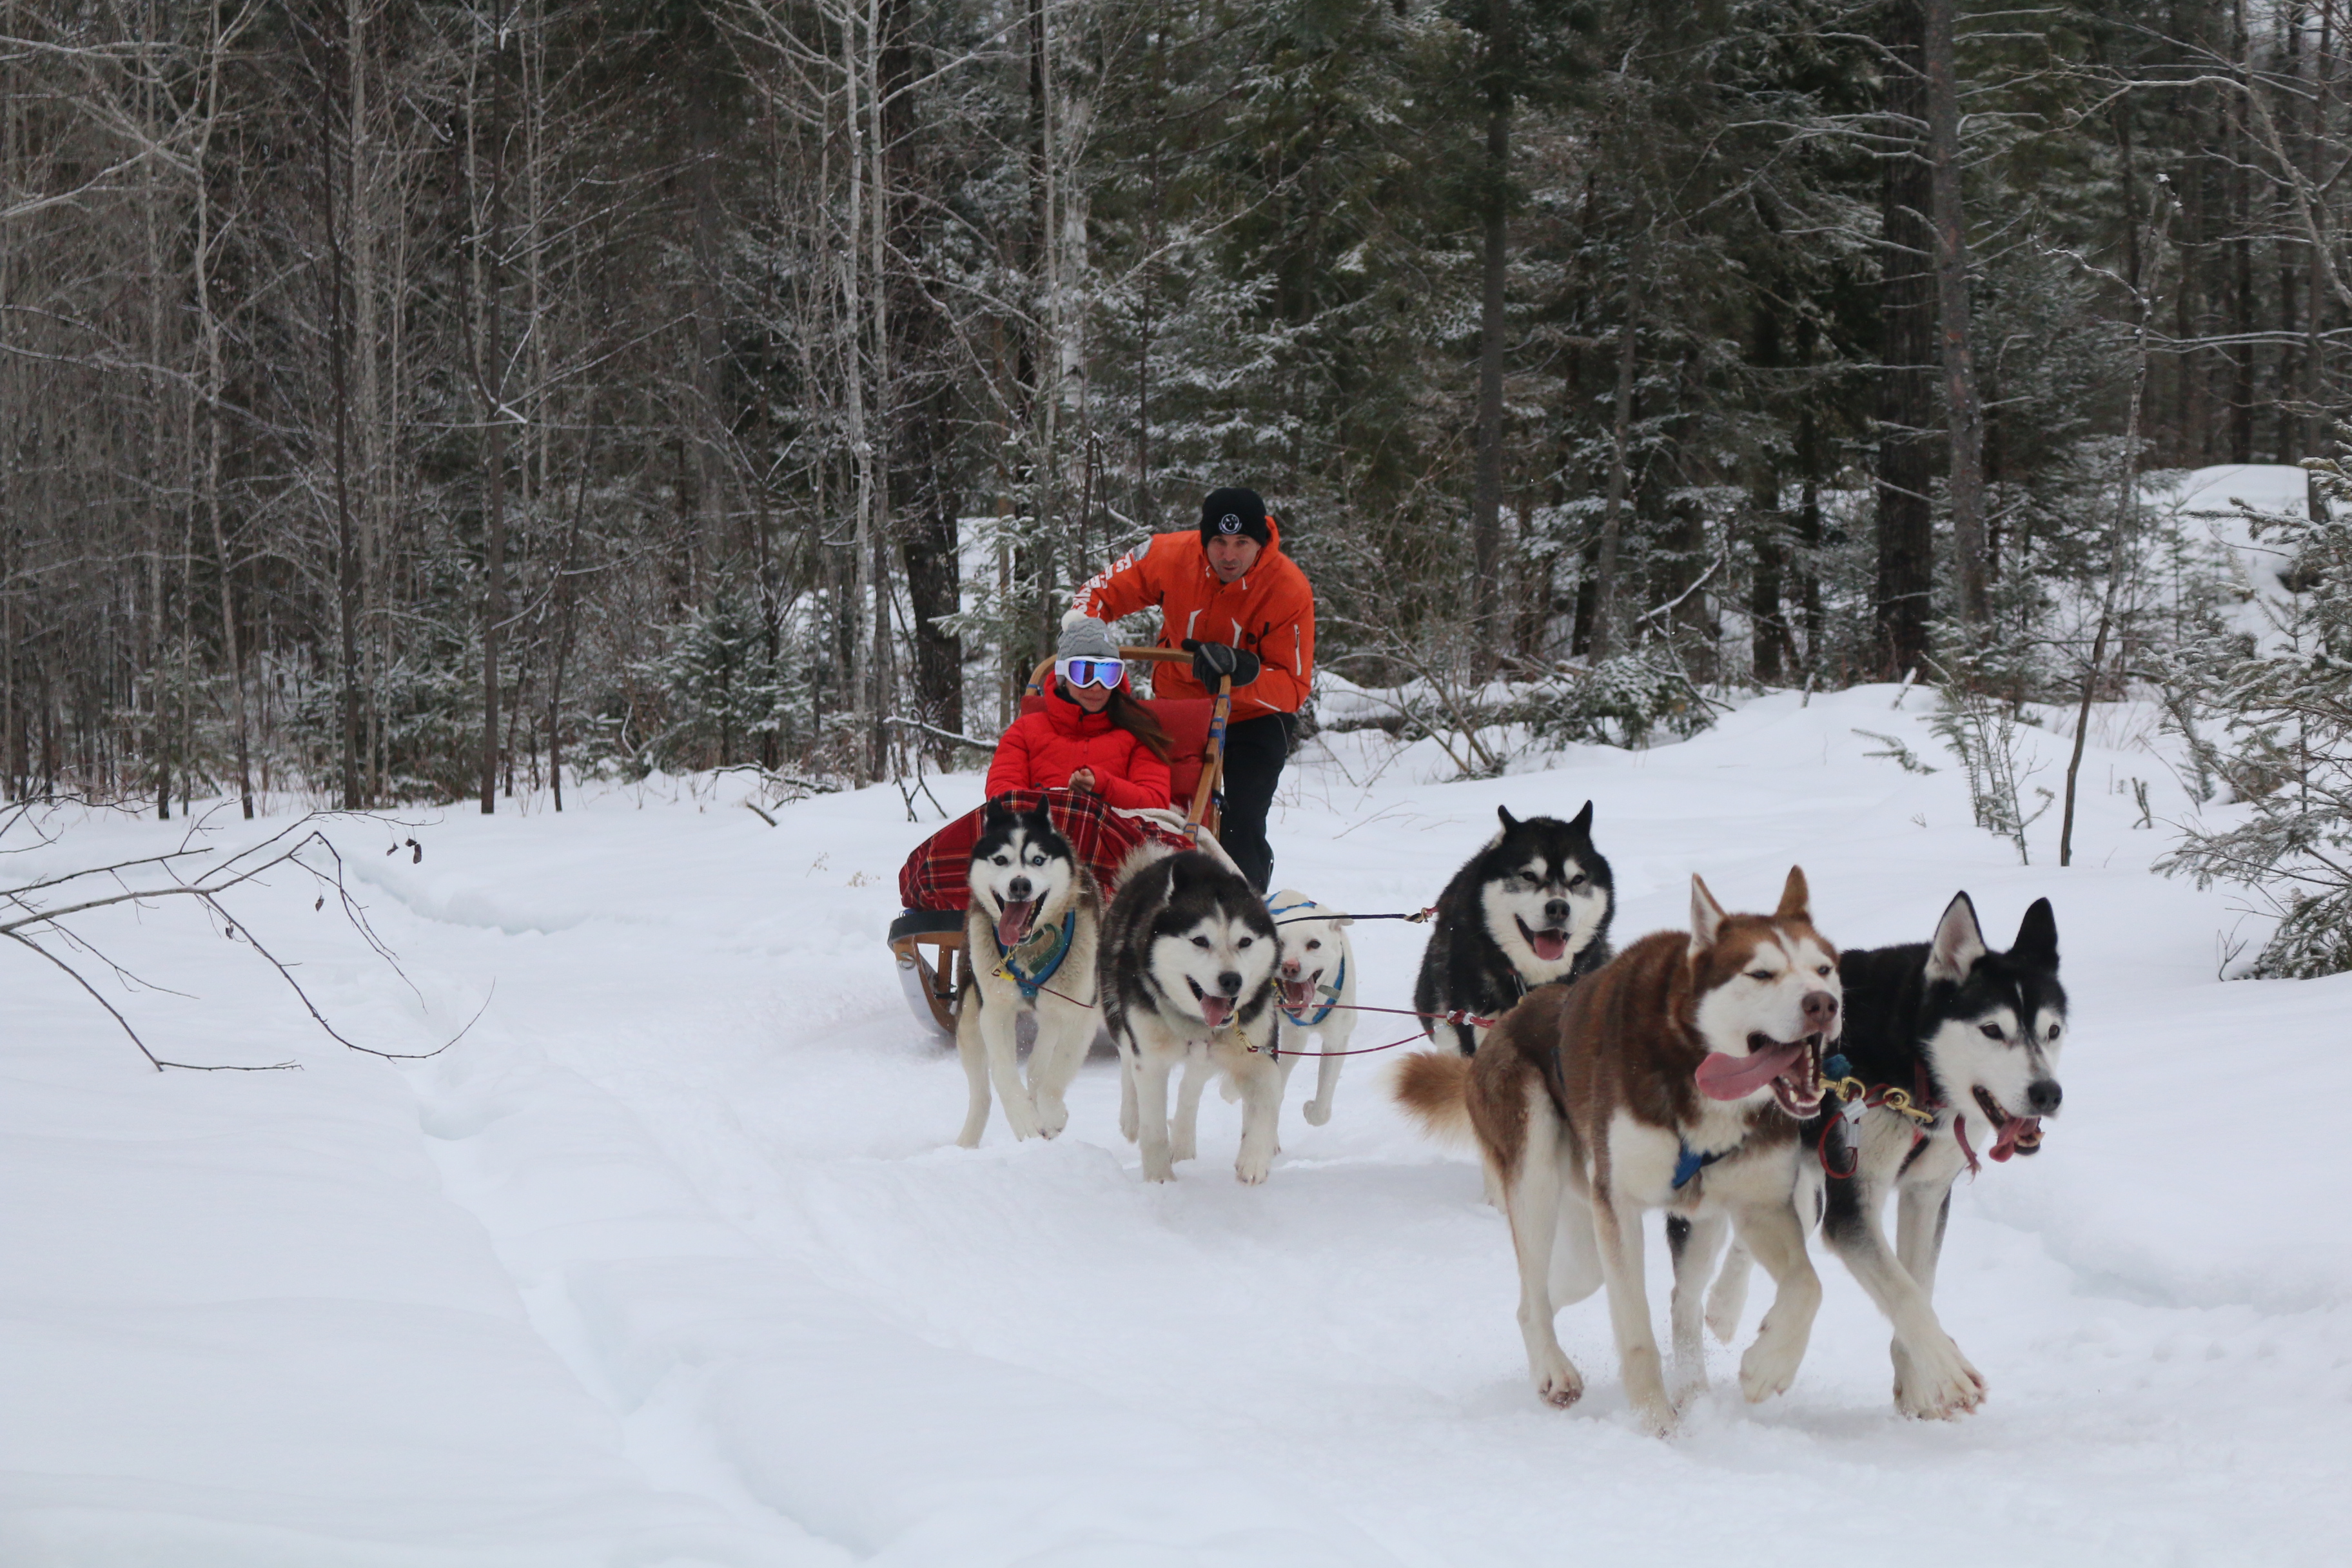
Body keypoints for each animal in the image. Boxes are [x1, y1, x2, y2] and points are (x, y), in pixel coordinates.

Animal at [953, 798, 1102, 1148]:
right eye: (1000, 860)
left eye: (1038, 860)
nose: (1019, 884)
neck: (1029, 949)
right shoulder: (994, 1010)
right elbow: (1003, 1071)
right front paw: (1023, 1118)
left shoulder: (1080, 1013)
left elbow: (1056, 1072)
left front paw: (1050, 1115)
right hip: (969, 1017)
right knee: (982, 1094)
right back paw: (966, 1143)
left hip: (1054, 1012)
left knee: (1039, 1065)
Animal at [1101, 847, 1283, 1183]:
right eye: (1200, 940)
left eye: (1245, 941)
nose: (1232, 980)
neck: (1198, 1024)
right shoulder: (1151, 1058)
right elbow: (1154, 1129)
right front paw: (1159, 1180)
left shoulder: (1257, 1052)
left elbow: (1268, 1099)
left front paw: (1254, 1159)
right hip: (1116, 1012)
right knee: (1127, 1060)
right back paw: (1131, 1118)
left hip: (1210, 1055)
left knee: (1191, 1087)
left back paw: (1184, 1143)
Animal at [1396, 869, 1838, 1433]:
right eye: (1761, 973)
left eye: (1824, 969)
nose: (1823, 1003)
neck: (1694, 1067)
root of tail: (1498, 1033)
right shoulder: (1619, 1207)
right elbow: (1634, 1327)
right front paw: (1654, 1420)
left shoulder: (1761, 1206)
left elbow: (1808, 1285)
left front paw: (1768, 1366)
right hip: (1538, 1179)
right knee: (1533, 1297)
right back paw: (1555, 1370)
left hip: (1675, 1218)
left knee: (1663, 1299)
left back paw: (1694, 1394)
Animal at [1692, 893, 2065, 1419]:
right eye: (1993, 1030)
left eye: (2053, 1031)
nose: (2048, 1093)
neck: (1914, 1067)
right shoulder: (1853, 1204)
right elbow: (1904, 1292)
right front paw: (1949, 1372)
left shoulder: (1927, 1193)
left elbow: (1918, 1283)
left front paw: (1916, 1382)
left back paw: (1733, 1312)